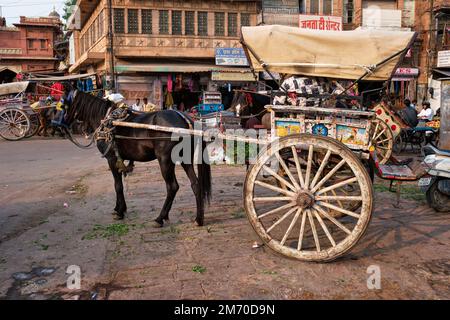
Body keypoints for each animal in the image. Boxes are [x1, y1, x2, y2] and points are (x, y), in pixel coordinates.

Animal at [64, 91, 211, 228]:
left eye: (65, 103)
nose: (63, 125)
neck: (106, 121)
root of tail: (186, 120)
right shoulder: (119, 159)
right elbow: (120, 184)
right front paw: (119, 208)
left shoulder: (111, 159)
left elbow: (117, 186)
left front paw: (120, 212)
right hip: (185, 159)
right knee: (195, 184)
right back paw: (198, 219)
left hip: (165, 160)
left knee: (172, 187)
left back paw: (160, 218)